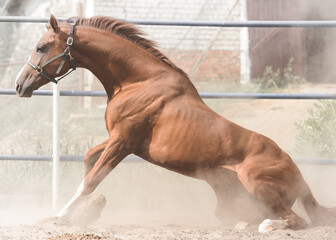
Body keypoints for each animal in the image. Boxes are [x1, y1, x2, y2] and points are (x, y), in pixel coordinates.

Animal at [14, 14, 334, 229]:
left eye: (41, 47)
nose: (19, 85)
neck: (138, 81)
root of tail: (300, 174)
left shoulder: (123, 141)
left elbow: (92, 178)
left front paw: (60, 217)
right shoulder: (119, 138)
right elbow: (88, 162)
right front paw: (87, 210)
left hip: (255, 181)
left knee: (296, 220)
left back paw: (267, 226)